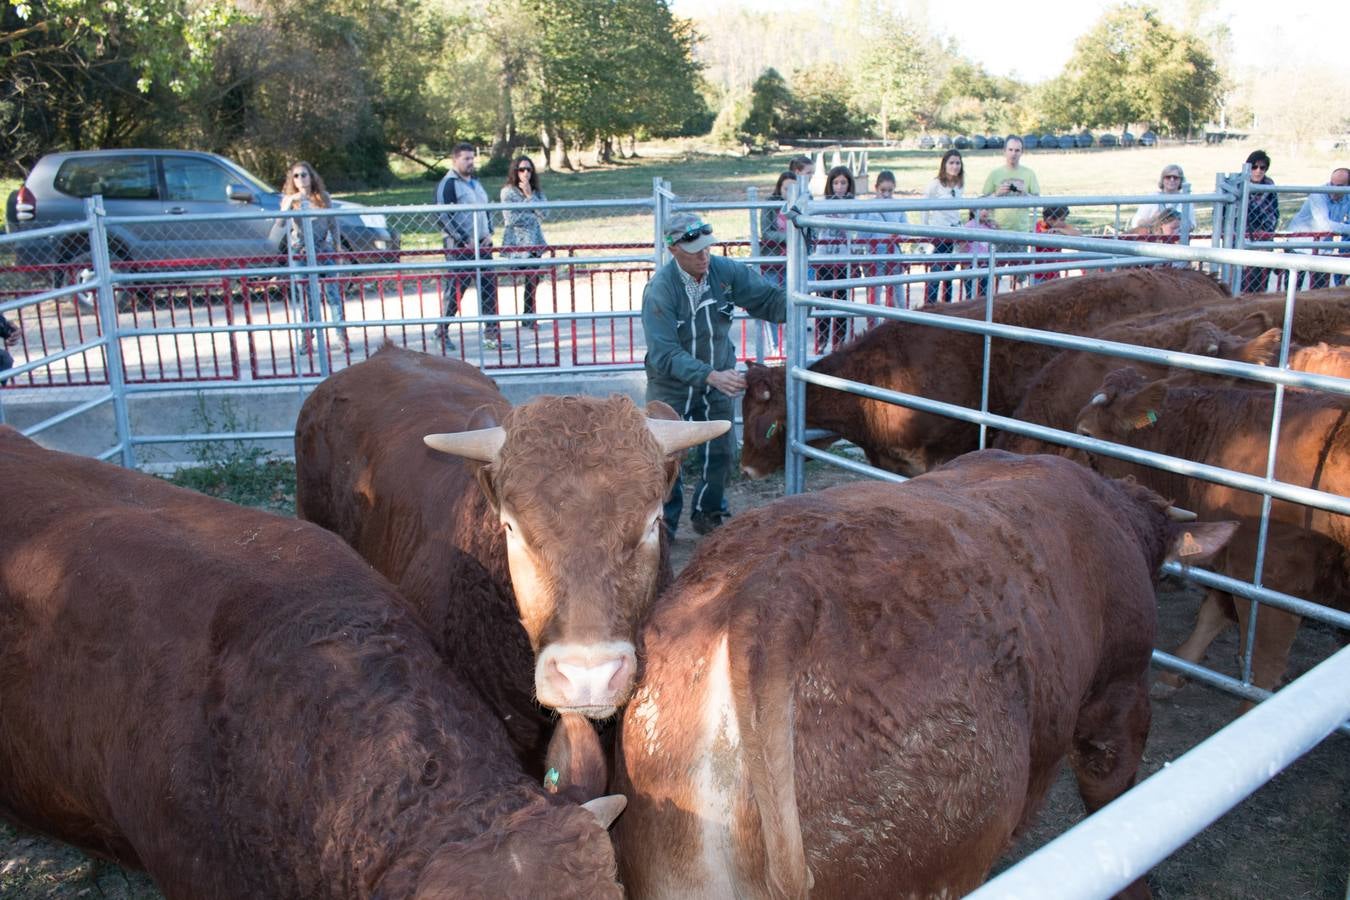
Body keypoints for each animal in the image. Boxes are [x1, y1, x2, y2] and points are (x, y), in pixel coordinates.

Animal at [1074, 367, 1350, 696]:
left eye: (1085, 434)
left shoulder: (1269, 575)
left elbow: (1263, 664)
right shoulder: (1233, 565)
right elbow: (1213, 611)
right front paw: (1173, 673)